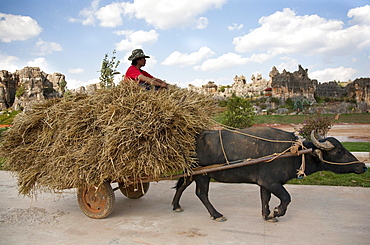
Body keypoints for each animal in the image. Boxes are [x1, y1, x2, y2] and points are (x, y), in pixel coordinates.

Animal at [171, 126, 368, 222]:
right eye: (339, 151)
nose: (362, 166)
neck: (294, 153)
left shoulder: (265, 184)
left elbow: (265, 198)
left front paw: (267, 215)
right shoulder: (272, 182)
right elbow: (286, 198)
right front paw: (276, 213)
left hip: (193, 173)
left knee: (182, 185)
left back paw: (176, 205)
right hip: (202, 176)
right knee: (201, 194)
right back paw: (217, 214)